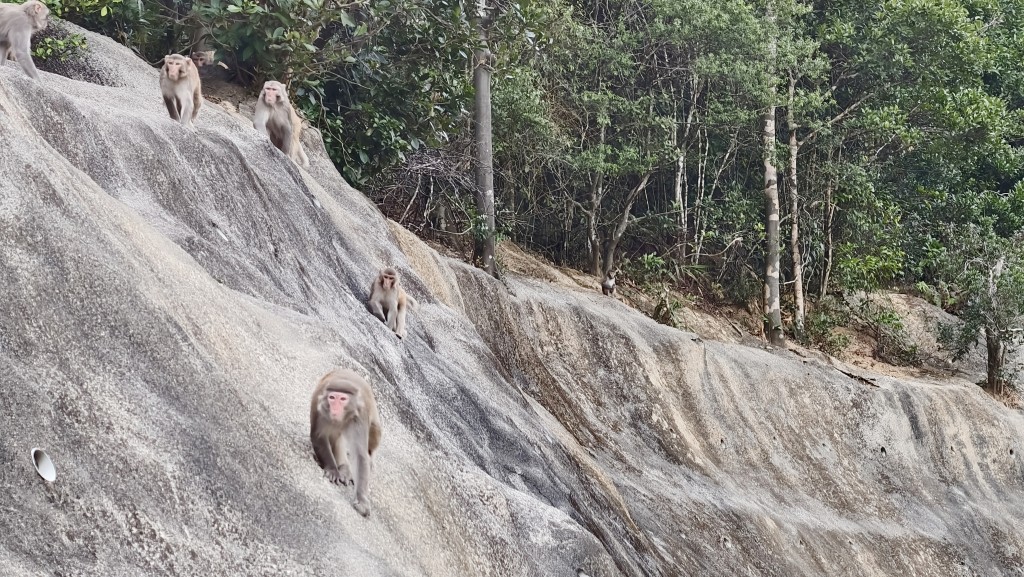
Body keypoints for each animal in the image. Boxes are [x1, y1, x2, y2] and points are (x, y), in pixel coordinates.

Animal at [309, 368, 382, 516]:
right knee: (335, 436)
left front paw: (362, 500)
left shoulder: (360, 416)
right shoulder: (319, 406)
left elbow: (360, 455)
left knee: (374, 435)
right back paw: (342, 468)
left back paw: (348, 468)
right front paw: (332, 470)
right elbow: (319, 436)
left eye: (342, 399)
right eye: (332, 398)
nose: (335, 408)